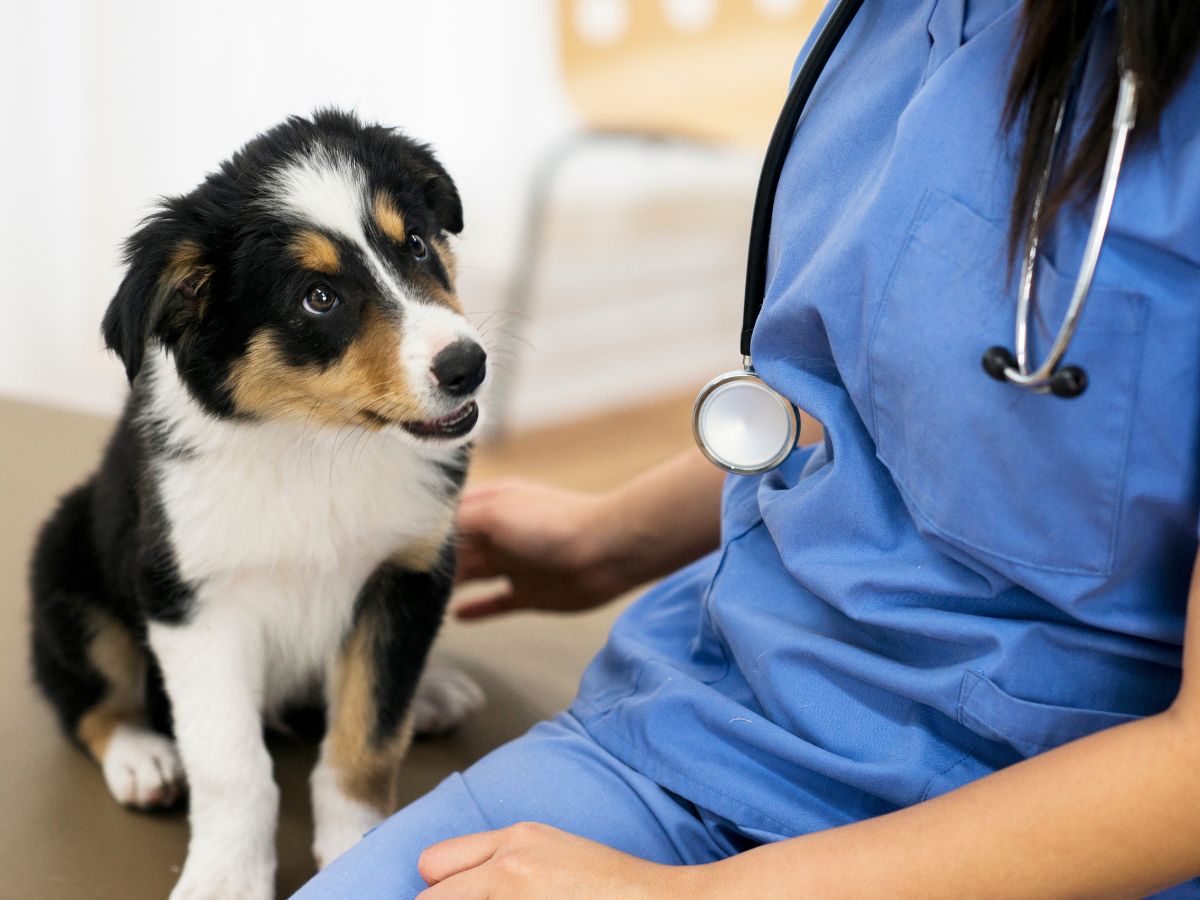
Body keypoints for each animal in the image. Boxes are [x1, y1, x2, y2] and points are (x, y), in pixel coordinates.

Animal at [30, 109, 487, 897]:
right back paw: (141, 756)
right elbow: (231, 765)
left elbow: (366, 736)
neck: (315, 446)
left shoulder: (406, 574)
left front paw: (359, 847)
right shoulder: (193, 598)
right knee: (86, 696)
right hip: (65, 553)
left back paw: (431, 692)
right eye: (318, 298)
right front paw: (225, 878)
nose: (467, 366)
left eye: (417, 244)